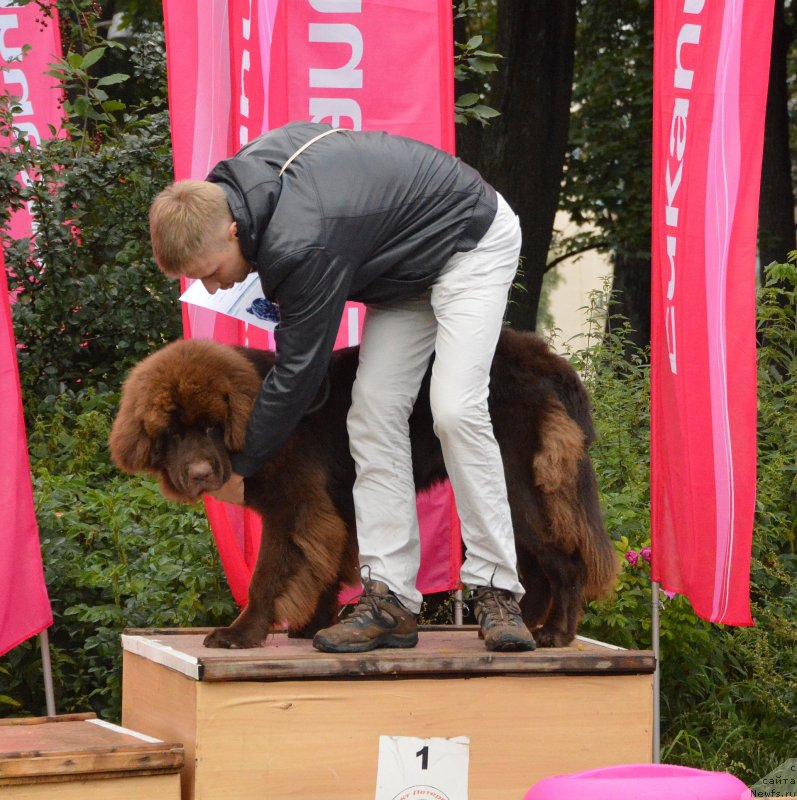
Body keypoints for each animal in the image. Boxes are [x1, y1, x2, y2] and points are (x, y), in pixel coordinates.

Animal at [109, 328, 616, 648]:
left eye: (213, 427)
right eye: (172, 433)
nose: (199, 473)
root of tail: (547, 360)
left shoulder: (295, 506)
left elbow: (268, 576)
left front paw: (241, 634)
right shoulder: (334, 509)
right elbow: (326, 567)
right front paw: (312, 626)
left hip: (513, 483)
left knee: (564, 561)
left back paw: (555, 633)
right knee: (532, 565)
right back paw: (521, 627)